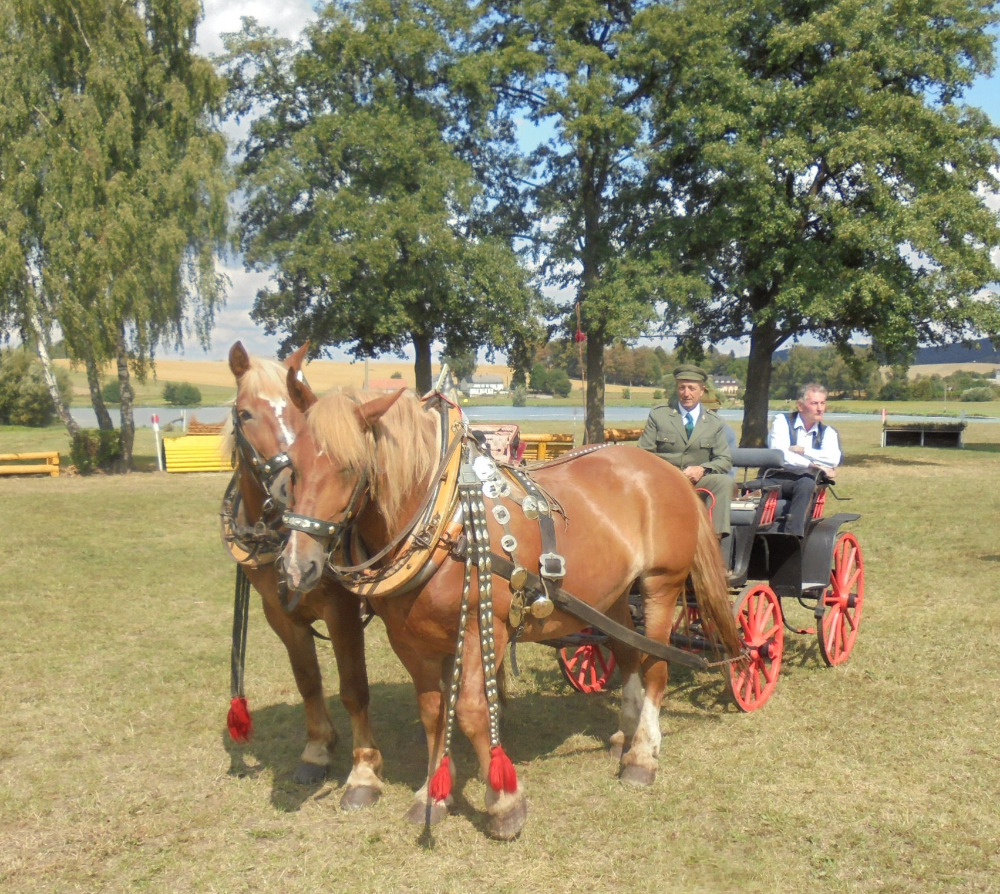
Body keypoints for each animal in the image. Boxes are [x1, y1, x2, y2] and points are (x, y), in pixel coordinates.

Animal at [278, 362, 748, 840]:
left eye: (351, 466)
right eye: (290, 464)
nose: (298, 567)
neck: (446, 524)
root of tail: (669, 472)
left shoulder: (483, 627)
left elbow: (471, 709)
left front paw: (504, 803)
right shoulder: (409, 640)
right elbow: (433, 711)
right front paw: (432, 794)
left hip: (660, 584)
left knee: (656, 665)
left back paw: (643, 755)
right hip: (613, 593)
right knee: (627, 652)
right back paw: (626, 735)